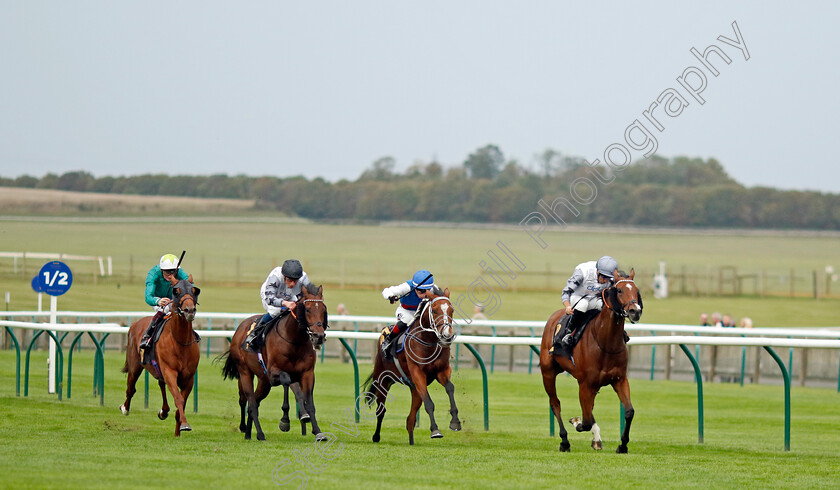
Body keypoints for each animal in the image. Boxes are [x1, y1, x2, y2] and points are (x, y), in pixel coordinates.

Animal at [120, 276, 200, 436]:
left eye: (194, 290)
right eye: (176, 291)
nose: (189, 310)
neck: (180, 341)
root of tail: (135, 324)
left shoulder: (189, 377)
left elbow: (181, 402)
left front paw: (178, 431)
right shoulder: (169, 371)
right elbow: (178, 398)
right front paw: (185, 424)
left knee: (161, 384)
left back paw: (164, 411)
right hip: (135, 366)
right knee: (131, 388)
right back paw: (125, 408)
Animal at [218, 284, 326, 440]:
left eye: (323, 310)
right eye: (307, 309)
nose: (319, 336)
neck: (294, 340)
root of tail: (239, 329)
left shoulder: (307, 373)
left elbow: (309, 402)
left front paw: (318, 432)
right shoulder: (274, 373)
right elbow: (286, 381)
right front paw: (285, 421)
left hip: (264, 382)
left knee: (255, 402)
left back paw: (249, 433)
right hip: (245, 373)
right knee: (250, 402)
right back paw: (259, 433)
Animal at [360, 288, 460, 444]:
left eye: (451, 310)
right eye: (435, 310)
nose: (446, 336)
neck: (428, 341)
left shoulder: (441, 370)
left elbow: (450, 388)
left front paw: (455, 421)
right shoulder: (418, 373)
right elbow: (429, 404)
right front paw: (435, 430)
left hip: (414, 389)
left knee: (410, 419)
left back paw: (411, 441)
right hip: (382, 381)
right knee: (381, 411)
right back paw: (376, 437)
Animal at [540, 270, 644, 454]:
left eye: (636, 290)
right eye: (619, 291)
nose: (635, 311)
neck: (605, 343)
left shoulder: (619, 379)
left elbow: (629, 412)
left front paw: (622, 445)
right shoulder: (585, 384)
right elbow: (586, 421)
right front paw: (577, 423)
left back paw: (596, 439)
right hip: (548, 373)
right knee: (555, 403)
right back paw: (564, 441)